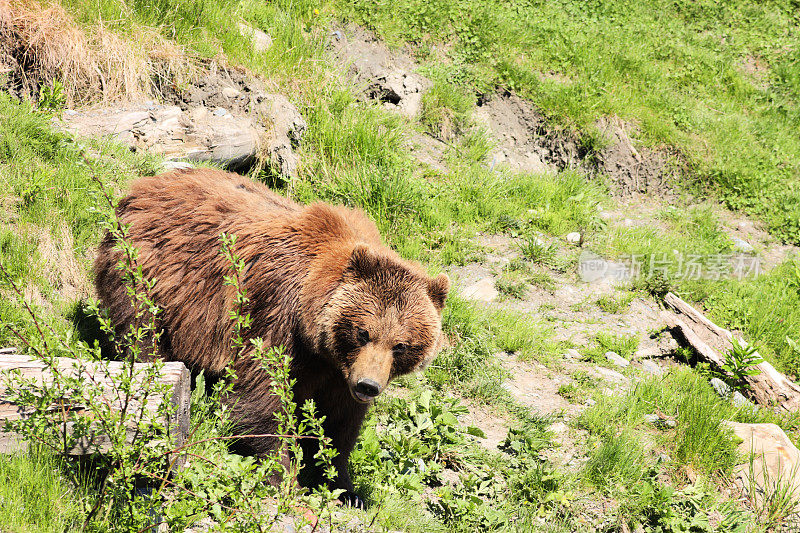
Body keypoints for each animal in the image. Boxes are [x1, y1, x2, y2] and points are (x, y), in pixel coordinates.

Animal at [94, 168, 450, 504]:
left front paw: (346, 488)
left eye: (401, 345)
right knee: (142, 332)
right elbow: (261, 393)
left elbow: (338, 421)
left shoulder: (339, 371)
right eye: (363, 332)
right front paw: (284, 477)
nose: (368, 385)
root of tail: (143, 186)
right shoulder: (276, 316)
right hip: (153, 273)